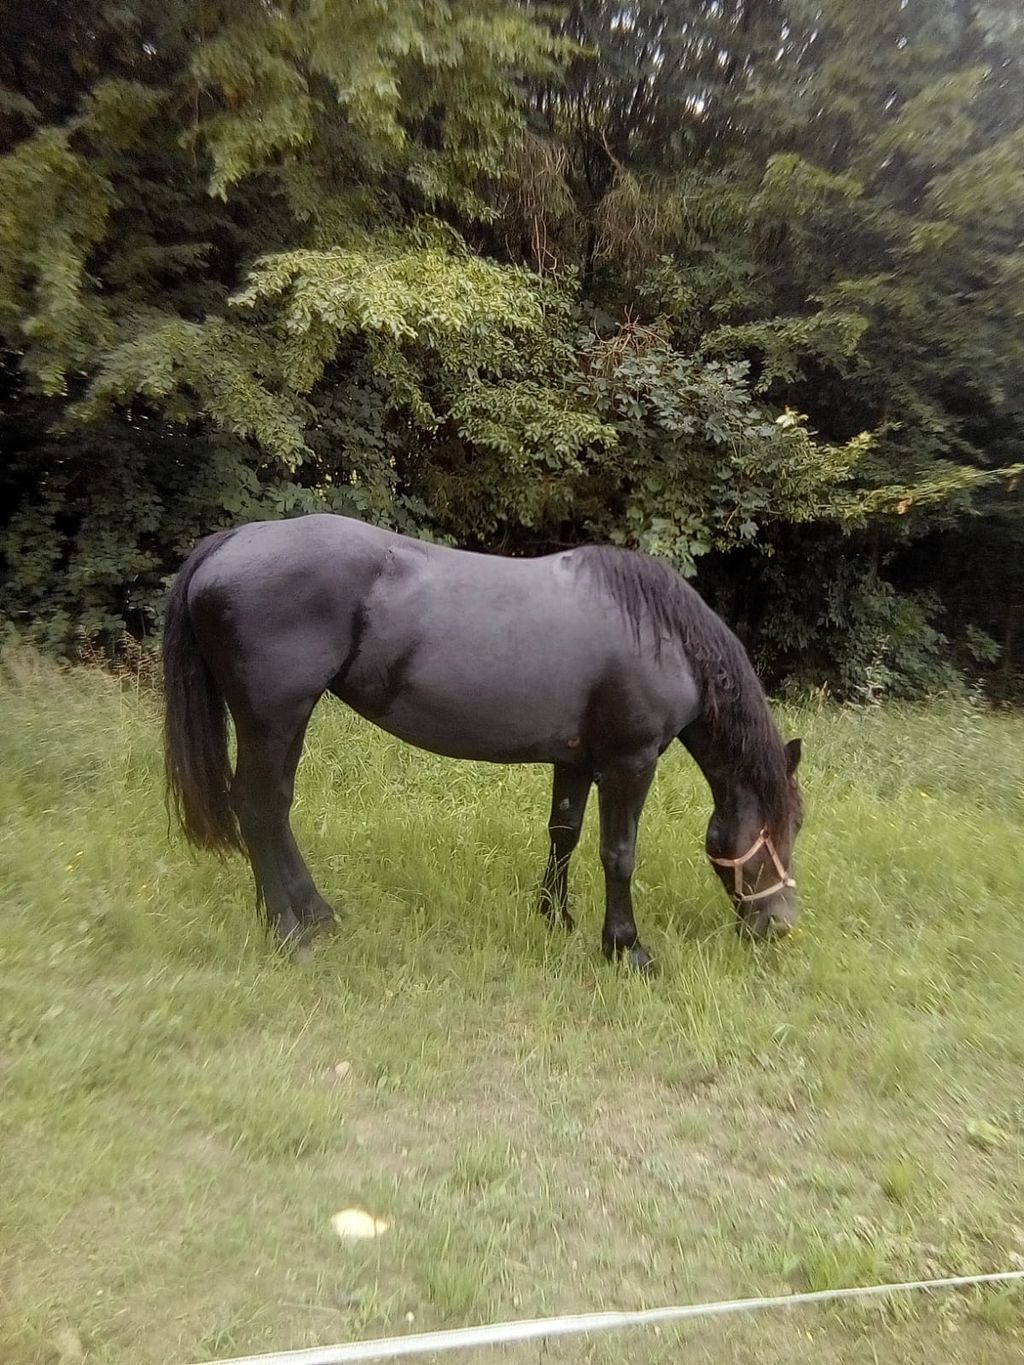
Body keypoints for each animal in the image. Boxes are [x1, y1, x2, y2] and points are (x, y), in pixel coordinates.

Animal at [162, 513, 802, 971]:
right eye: (785, 827)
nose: (781, 925)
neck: (659, 635)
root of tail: (234, 540)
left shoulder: (576, 761)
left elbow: (564, 833)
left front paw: (555, 919)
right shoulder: (629, 763)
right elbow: (618, 854)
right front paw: (626, 949)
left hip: (288, 721)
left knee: (276, 809)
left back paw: (316, 915)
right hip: (270, 720)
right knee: (257, 809)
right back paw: (290, 933)